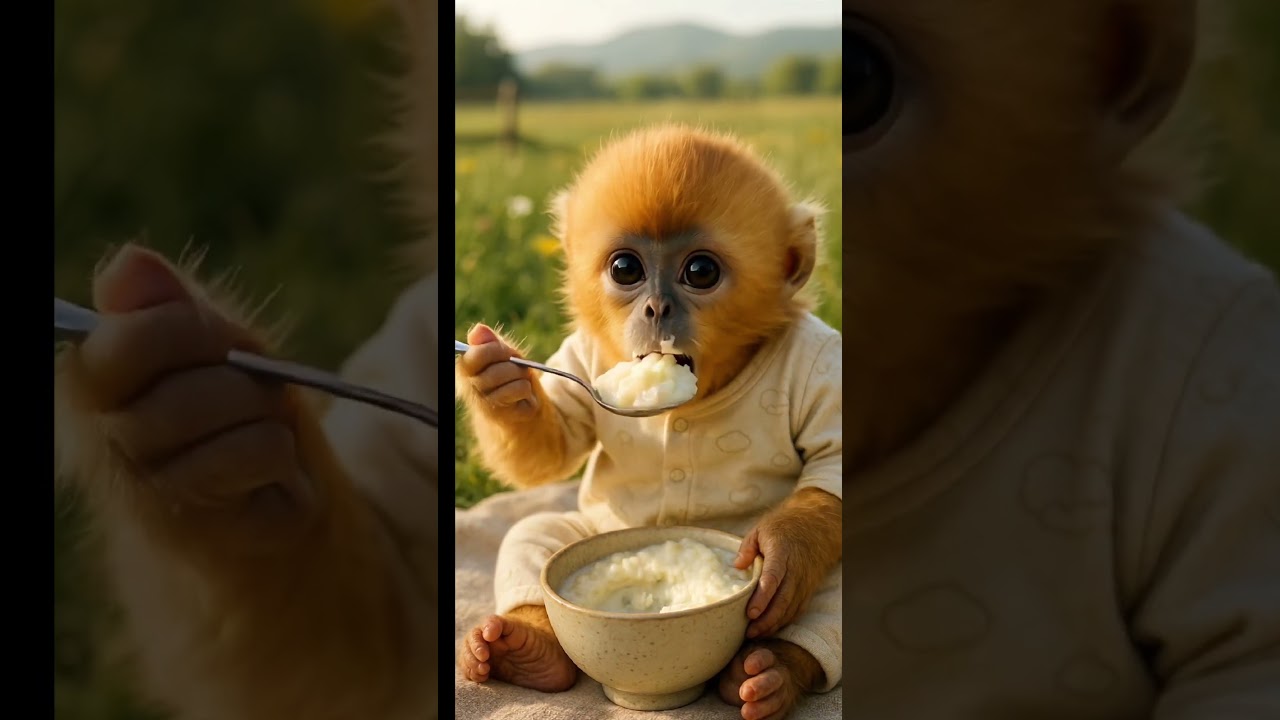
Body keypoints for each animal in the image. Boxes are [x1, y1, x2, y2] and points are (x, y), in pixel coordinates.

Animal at [454, 124, 844, 720]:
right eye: (626, 269)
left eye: (700, 271)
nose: (657, 309)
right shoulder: (583, 357)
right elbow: (549, 452)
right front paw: (496, 379)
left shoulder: (819, 355)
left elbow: (833, 464)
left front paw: (784, 553)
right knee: (532, 532)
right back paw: (524, 648)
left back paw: (771, 671)